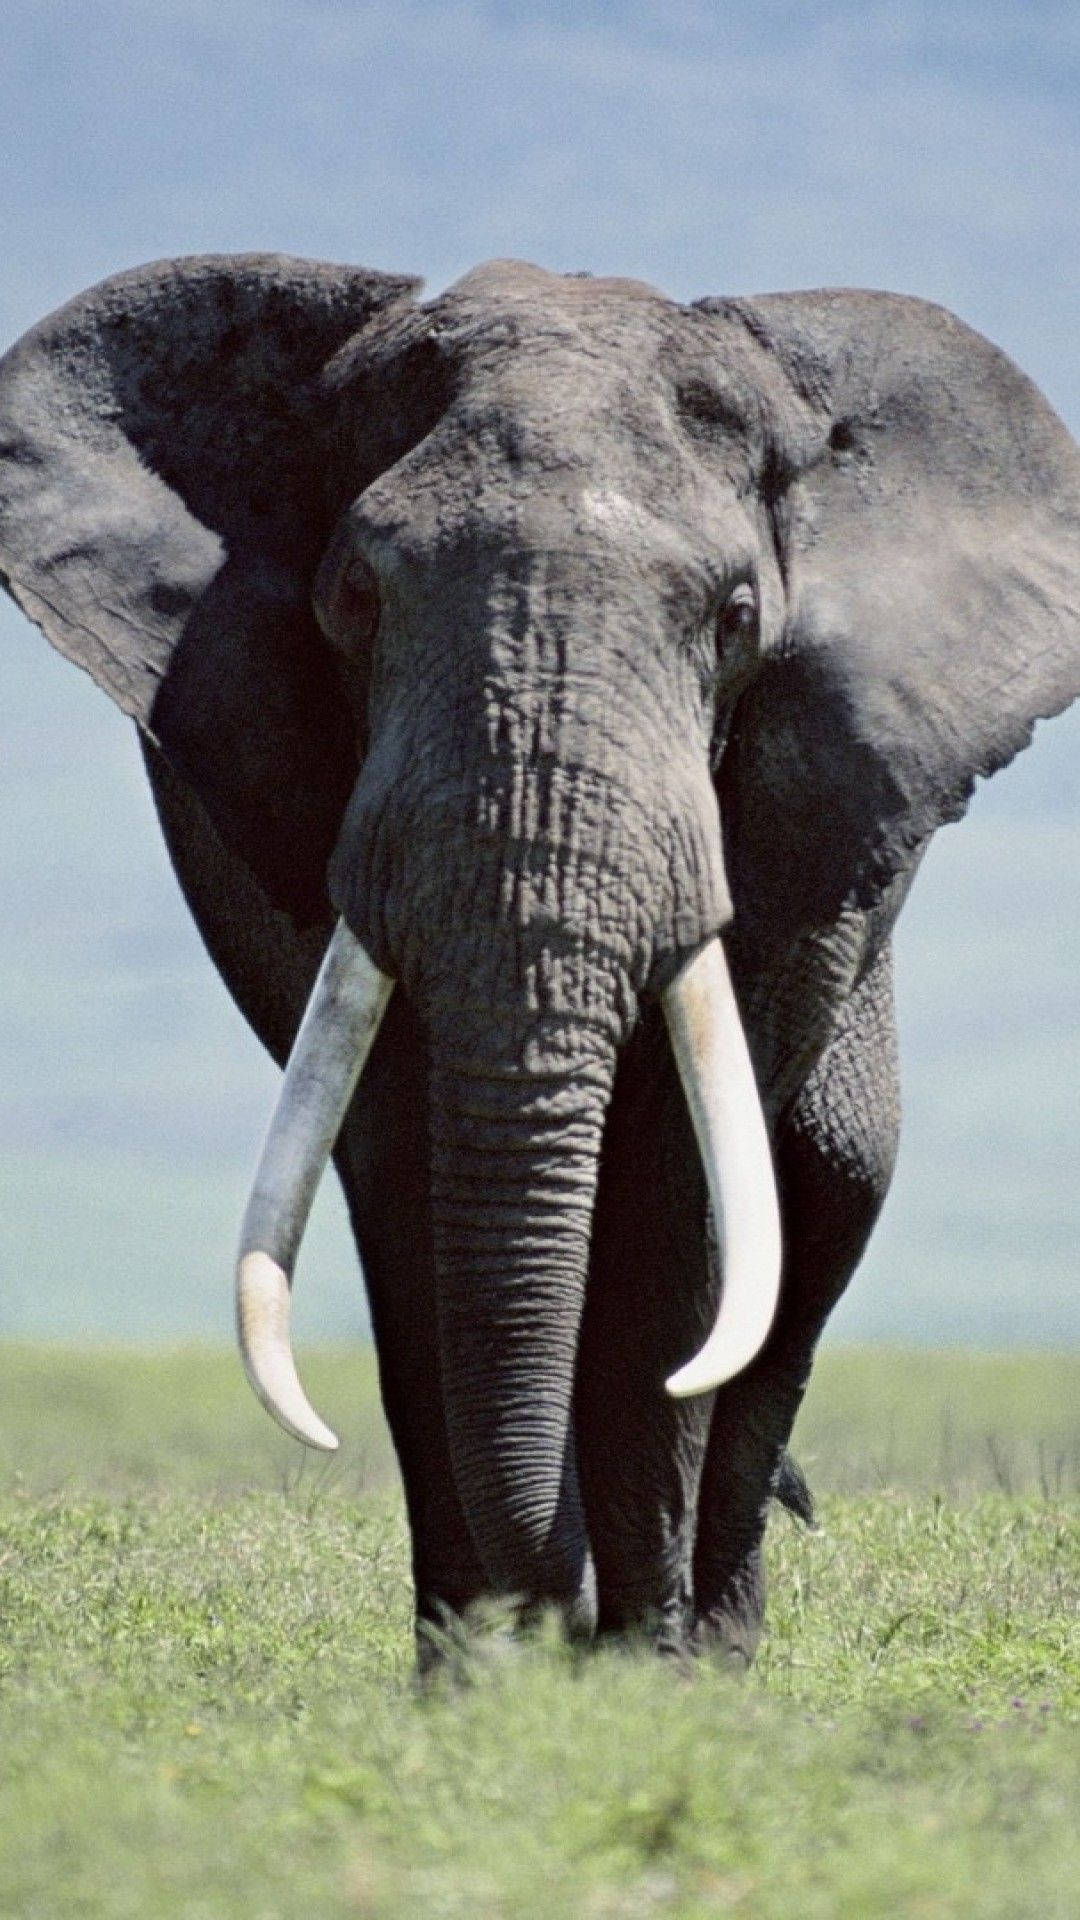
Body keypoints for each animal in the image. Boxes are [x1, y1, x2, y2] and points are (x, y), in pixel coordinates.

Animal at [1, 254, 1078, 1665]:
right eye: (354, 601)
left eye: (734, 617)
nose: (558, 1622)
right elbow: (401, 1160)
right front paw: (484, 1676)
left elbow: (681, 1187)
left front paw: (641, 1677)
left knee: (833, 1186)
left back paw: (718, 1648)